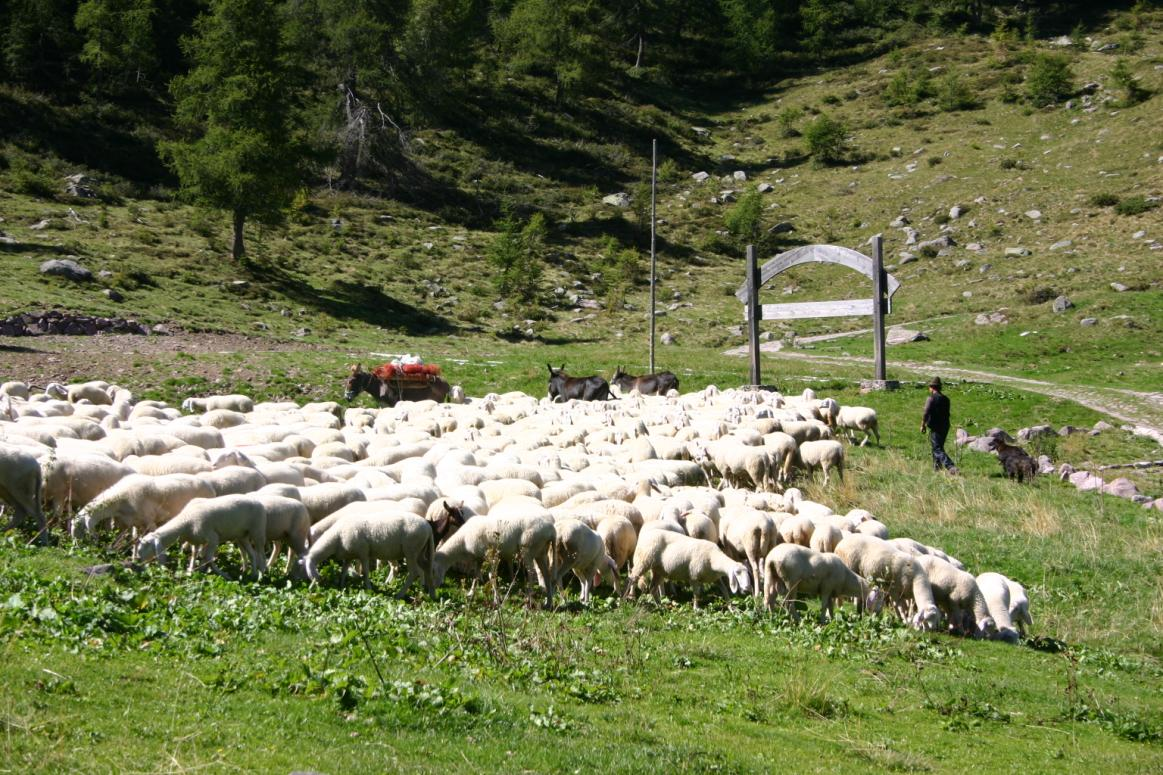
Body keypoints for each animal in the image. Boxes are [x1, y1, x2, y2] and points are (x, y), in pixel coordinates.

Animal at [137, 491, 268, 577]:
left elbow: (209, 558)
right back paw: (253, 574)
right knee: (252, 554)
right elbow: (195, 554)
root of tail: (258, 502)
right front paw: (191, 570)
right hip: (242, 536)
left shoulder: (213, 538)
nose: (139, 564)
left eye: (145, 546)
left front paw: (222, 574)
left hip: (258, 531)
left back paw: (262, 572)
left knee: (261, 553)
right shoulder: (196, 541)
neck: (186, 522)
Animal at [304, 505, 437, 593]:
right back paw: (426, 592)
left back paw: (400, 594)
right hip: (419, 552)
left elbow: (365, 572)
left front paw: (368, 588)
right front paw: (341, 585)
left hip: (411, 550)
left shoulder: (363, 552)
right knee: (425, 569)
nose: (309, 590)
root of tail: (428, 527)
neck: (336, 537)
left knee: (414, 572)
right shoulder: (349, 555)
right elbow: (343, 571)